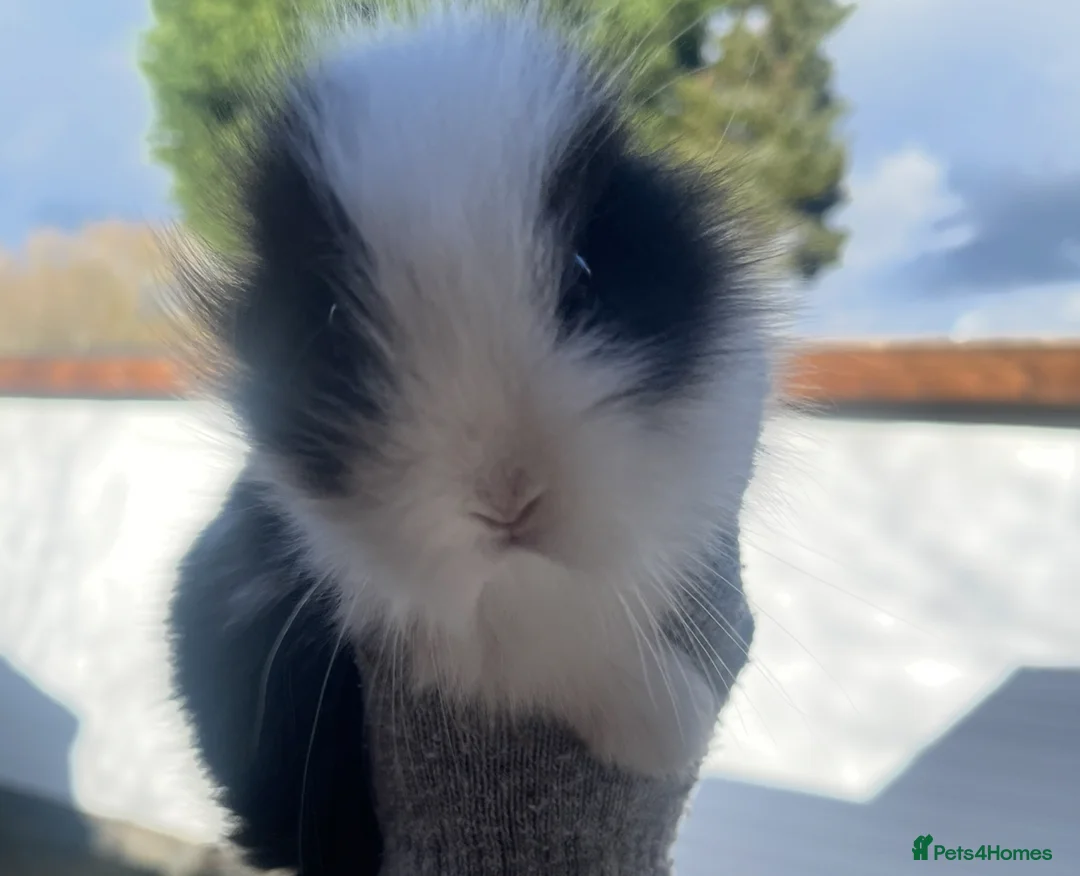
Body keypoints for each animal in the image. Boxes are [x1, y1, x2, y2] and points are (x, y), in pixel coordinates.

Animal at [167, 2, 773, 873]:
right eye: (332, 323)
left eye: (584, 271)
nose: (508, 499)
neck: (517, 570)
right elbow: (541, 648)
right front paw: (671, 726)